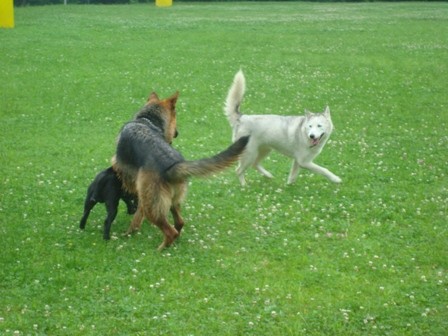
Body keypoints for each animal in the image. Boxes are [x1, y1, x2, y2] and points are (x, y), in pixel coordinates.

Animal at [113, 92, 248, 249]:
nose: (177, 133)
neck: (146, 120)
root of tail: (172, 165)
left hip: (152, 206)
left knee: (170, 231)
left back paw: (160, 249)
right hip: (171, 200)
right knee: (179, 223)